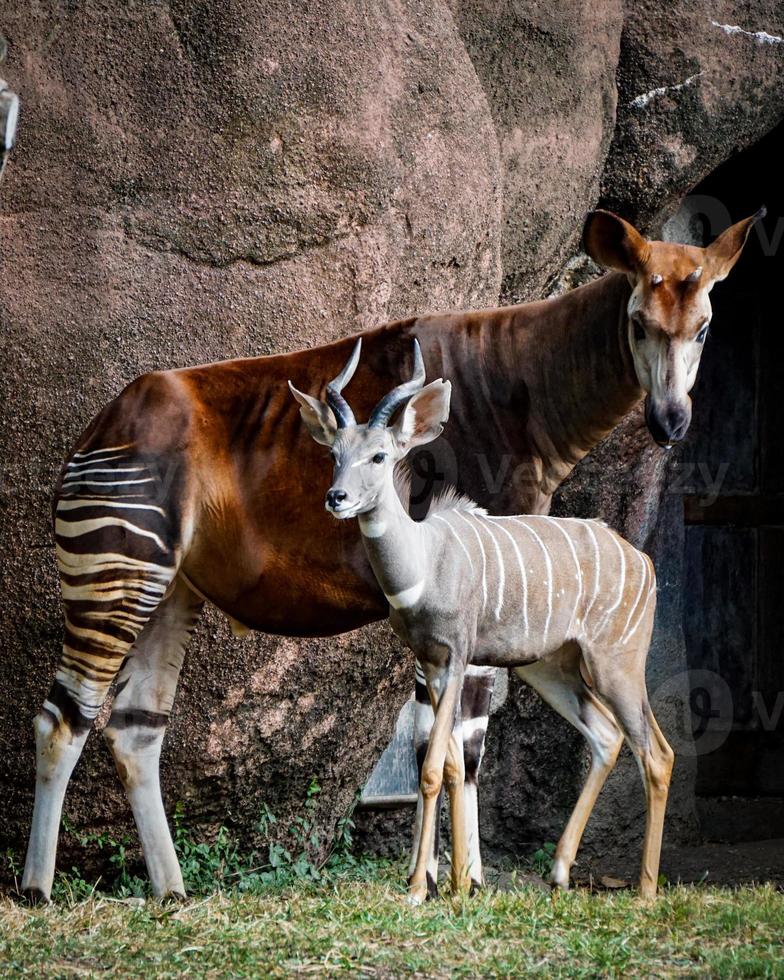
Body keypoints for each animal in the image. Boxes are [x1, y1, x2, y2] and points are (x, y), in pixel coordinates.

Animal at [290, 340, 672, 900]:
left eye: (379, 455)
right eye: (333, 455)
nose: (336, 497)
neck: (424, 561)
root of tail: (643, 562)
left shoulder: (458, 655)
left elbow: (433, 767)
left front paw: (420, 888)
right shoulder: (429, 663)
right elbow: (449, 762)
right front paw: (453, 883)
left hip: (616, 662)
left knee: (656, 753)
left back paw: (645, 891)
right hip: (550, 667)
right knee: (606, 735)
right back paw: (558, 873)